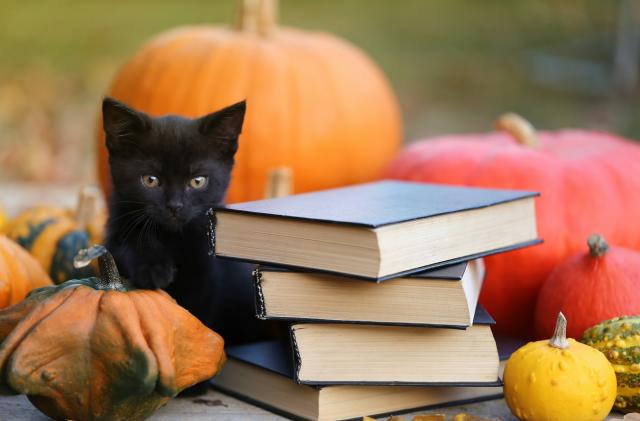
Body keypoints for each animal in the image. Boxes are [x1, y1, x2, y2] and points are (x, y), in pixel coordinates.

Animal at [102, 97, 270, 346]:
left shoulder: (206, 276)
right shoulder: (117, 233)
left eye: (197, 181)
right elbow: (131, 244)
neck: (173, 240)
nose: (175, 206)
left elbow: (197, 316)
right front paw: (153, 269)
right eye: (150, 180)